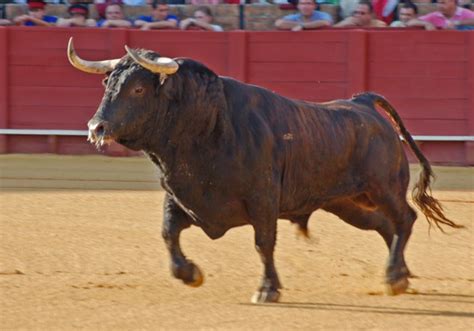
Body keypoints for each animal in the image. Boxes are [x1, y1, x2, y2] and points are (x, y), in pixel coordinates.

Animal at [67, 38, 462, 304]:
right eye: (107, 84)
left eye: (137, 88)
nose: (96, 127)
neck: (205, 123)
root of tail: (361, 102)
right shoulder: (179, 194)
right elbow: (168, 234)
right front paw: (190, 274)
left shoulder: (263, 200)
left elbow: (263, 243)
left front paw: (267, 289)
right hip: (347, 203)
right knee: (385, 226)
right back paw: (400, 275)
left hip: (383, 189)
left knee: (404, 219)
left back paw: (394, 278)